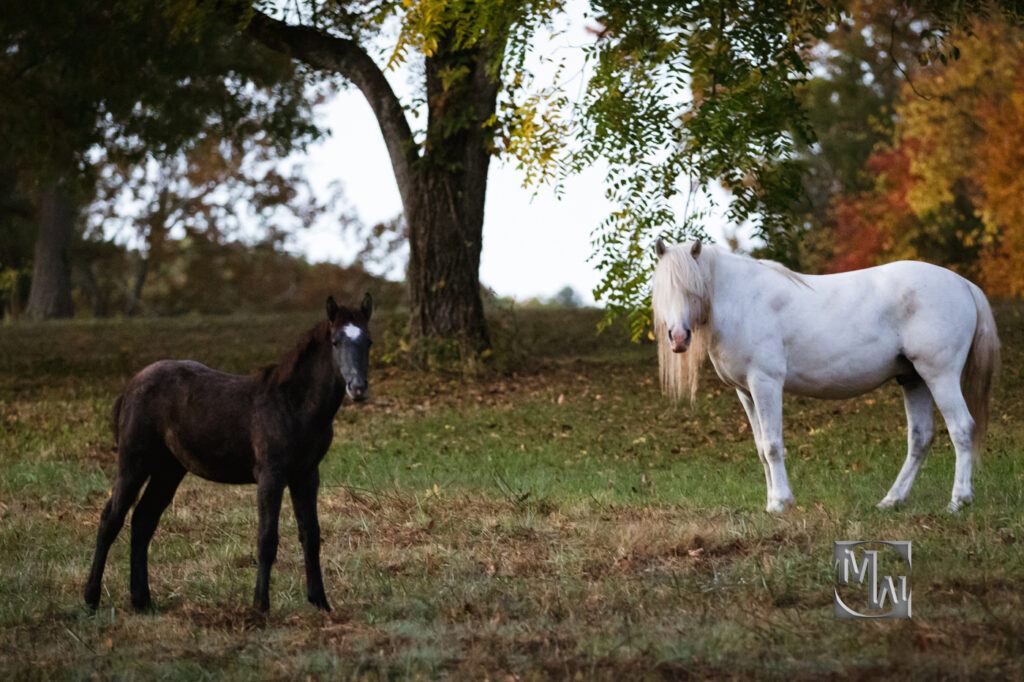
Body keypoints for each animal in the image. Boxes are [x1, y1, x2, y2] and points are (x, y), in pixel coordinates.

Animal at [655, 238, 999, 509]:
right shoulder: (746, 392)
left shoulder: (765, 383)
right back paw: (892, 500)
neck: (743, 301)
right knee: (920, 438)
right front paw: (771, 502)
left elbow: (773, 444)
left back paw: (959, 501)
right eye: (662, 290)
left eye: (692, 288)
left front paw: (781, 503)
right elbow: (761, 447)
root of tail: (963, 284)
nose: (678, 337)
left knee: (962, 428)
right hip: (914, 379)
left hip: (940, 376)